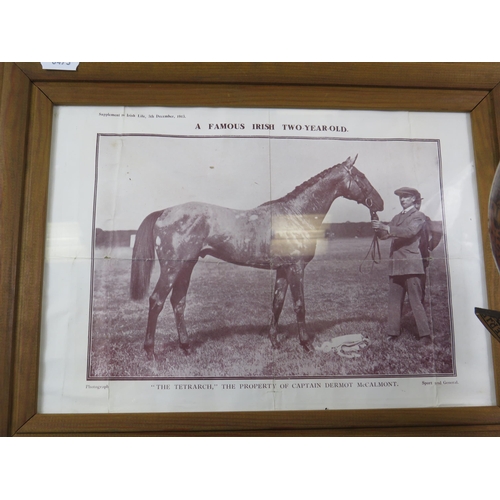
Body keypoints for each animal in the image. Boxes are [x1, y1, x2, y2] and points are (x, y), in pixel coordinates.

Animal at [129, 155, 382, 360]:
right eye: (361, 176)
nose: (380, 203)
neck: (295, 216)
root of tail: (165, 211)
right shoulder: (296, 268)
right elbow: (299, 305)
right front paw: (306, 345)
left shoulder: (282, 269)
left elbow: (277, 304)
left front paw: (275, 342)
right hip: (172, 268)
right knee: (157, 301)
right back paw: (150, 352)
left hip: (186, 266)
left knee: (178, 302)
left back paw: (186, 347)